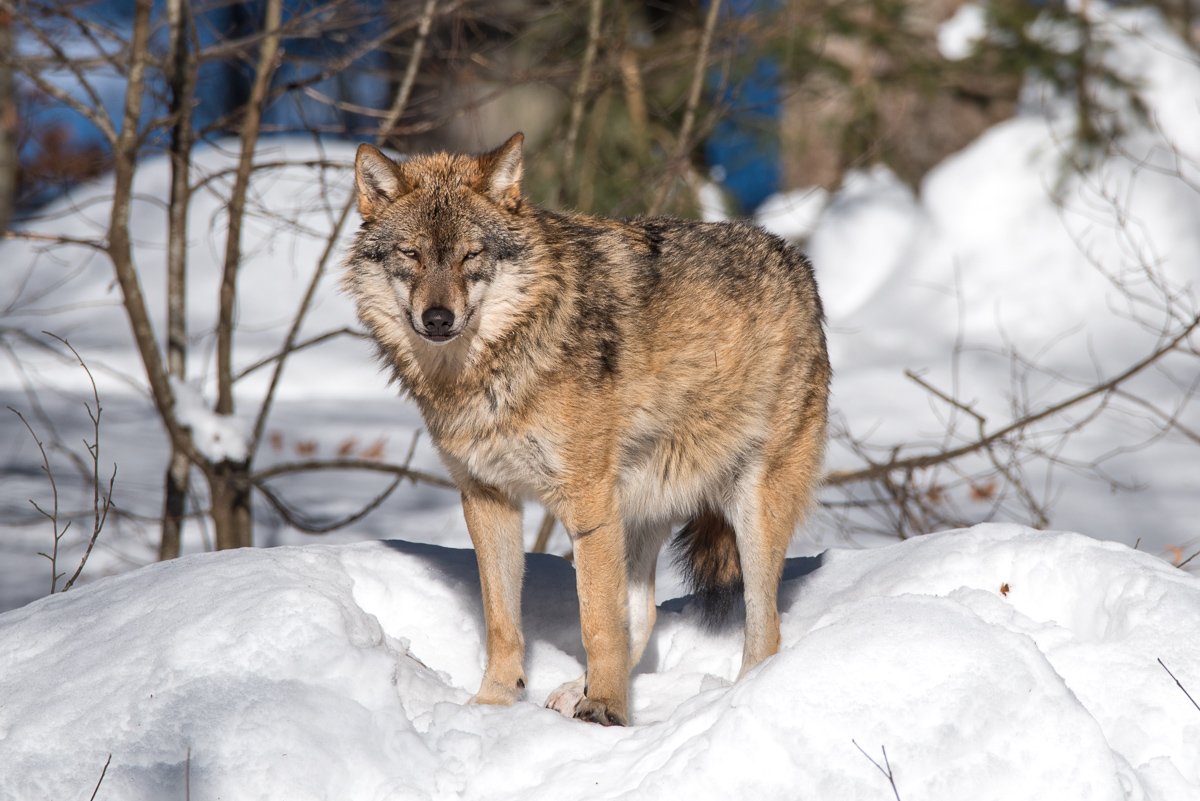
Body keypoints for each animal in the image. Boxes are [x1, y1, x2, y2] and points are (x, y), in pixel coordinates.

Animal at [342, 133, 830, 726]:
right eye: (411, 254)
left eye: (470, 255)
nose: (437, 319)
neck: (491, 371)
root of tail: (797, 260)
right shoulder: (487, 498)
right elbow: (503, 623)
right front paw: (493, 705)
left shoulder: (587, 501)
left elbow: (597, 622)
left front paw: (607, 711)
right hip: (641, 508)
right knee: (643, 613)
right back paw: (575, 690)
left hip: (750, 506)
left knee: (764, 629)